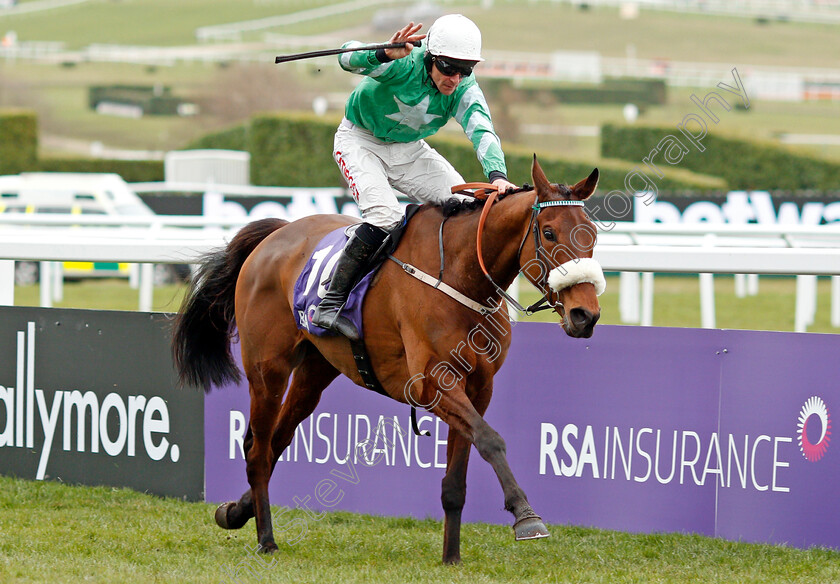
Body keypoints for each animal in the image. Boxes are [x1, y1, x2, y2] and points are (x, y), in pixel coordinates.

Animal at [172, 157, 604, 564]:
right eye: (548, 232)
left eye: (592, 233)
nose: (586, 315)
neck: (461, 276)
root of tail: (277, 233)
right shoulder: (433, 384)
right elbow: (491, 440)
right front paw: (526, 516)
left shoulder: (479, 387)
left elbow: (457, 479)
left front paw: (451, 557)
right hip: (268, 368)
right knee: (258, 448)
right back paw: (266, 539)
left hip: (315, 370)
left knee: (278, 438)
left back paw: (236, 512)